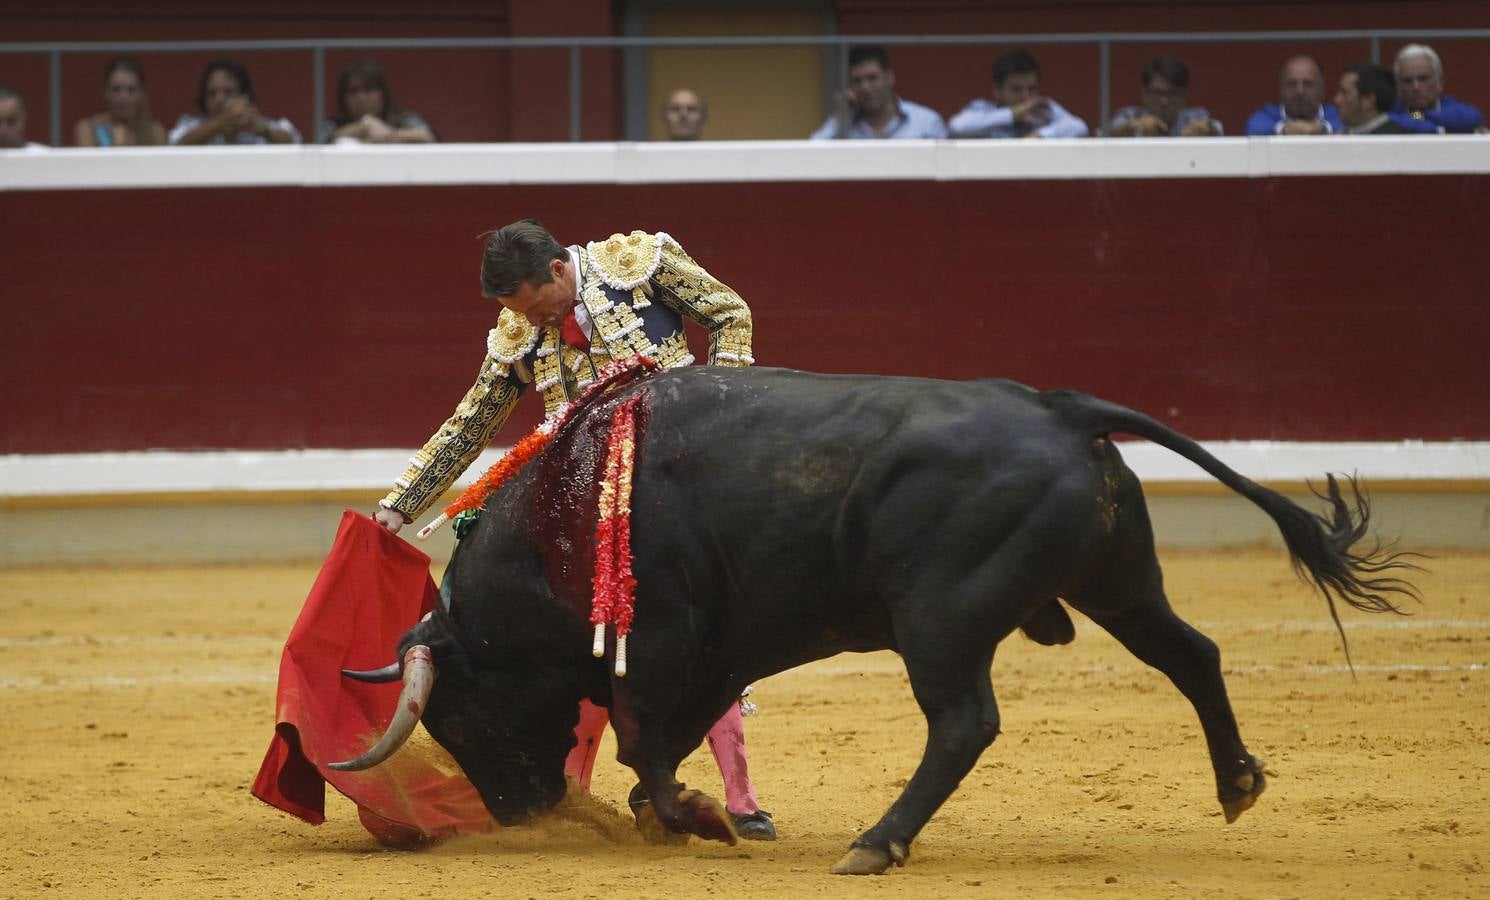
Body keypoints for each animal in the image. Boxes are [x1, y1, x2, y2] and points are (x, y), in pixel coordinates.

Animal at [332, 363, 1412, 870]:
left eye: (455, 712)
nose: (522, 810)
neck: (567, 503)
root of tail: (1060, 409)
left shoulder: (667, 640)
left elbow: (646, 742)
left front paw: (694, 818)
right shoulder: (721, 650)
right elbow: (665, 743)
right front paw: (685, 817)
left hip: (940, 620)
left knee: (964, 723)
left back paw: (876, 841)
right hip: (1119, 582)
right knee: (1192, 653)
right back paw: (1237, 782)